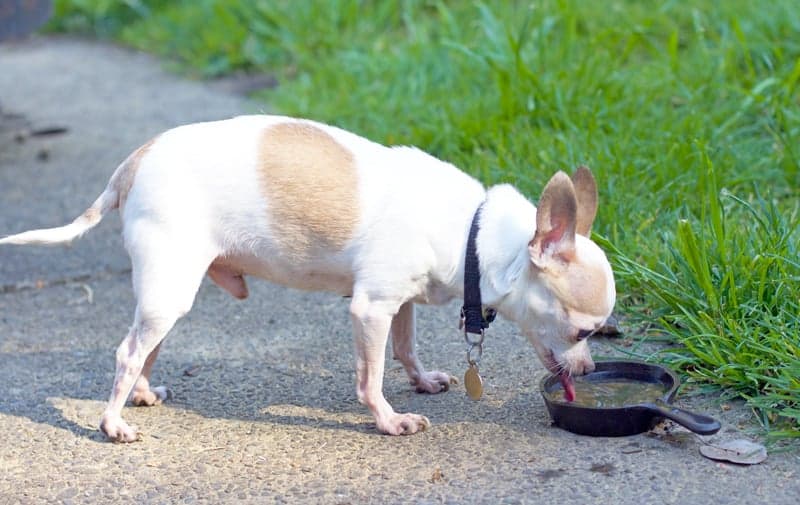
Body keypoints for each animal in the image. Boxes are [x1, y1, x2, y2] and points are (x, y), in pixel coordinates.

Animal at [0, 116, 616, 440]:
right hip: (169, 288)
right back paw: (112, 422)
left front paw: (421, 380)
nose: (588, 371)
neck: (474, 233)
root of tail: (135, 160)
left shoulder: (398, 303)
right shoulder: (369, 308)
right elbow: (370, 377)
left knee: (145, 348)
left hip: (169, 293)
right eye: (585, 332)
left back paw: (143, 395)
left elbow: (405, 347)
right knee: (127, 351)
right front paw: (388, 420)